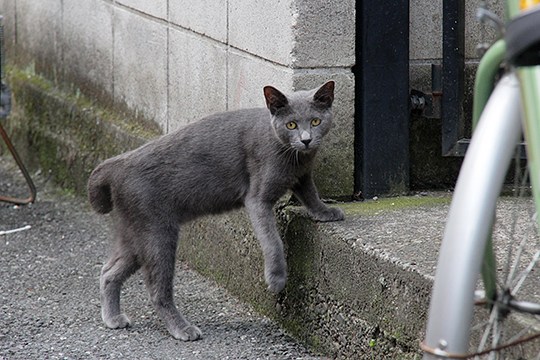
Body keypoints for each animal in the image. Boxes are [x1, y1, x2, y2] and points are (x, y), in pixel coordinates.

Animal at [87, 80, 344, 342]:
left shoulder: (303, 175)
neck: (294, 158)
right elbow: (273, 241)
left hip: (136, 232)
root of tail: (117, 163)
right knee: (157, 290)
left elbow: (310, 192)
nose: (306, 140)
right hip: (157, 231)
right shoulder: (257, 198)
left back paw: (113, 318)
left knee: (108, 271)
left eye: (315, 121)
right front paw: (276, 279)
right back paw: (182, 329)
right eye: (291, 124)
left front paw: (325, 212)